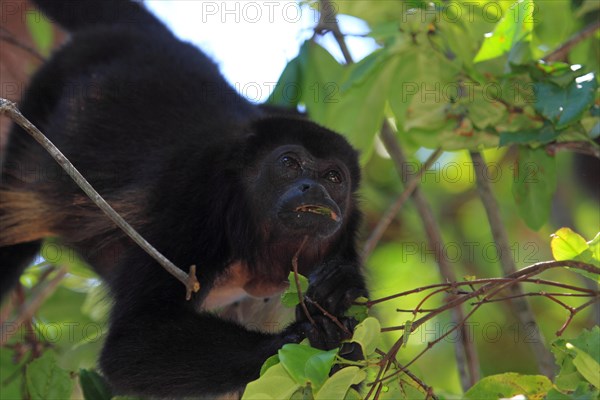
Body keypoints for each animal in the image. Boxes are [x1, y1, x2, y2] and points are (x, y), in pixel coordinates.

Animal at [0, 0, 366, 396]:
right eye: (289, 163)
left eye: (334, 177)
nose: (315, 188)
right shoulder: (195, 198)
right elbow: (133, 342)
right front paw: (304, 336)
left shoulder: (348, 230)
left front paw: (341, 285)